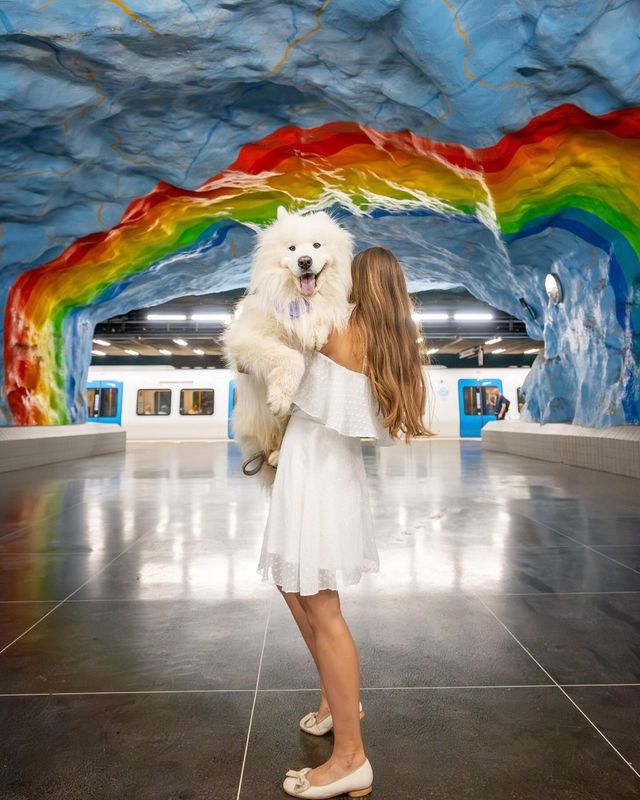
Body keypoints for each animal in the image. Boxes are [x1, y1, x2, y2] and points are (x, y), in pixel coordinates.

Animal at [224, 206, 356, 484]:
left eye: (317, 245)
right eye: (292, 248)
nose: (304, 261)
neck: (300, 299)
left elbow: (322, 316)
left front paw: (316, 333)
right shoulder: (246, 339)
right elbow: (290, 358)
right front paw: (279, 398)